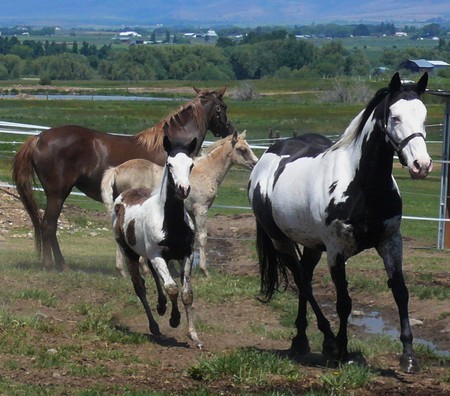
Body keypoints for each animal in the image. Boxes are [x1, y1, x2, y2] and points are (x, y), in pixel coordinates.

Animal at [11, 86, 234, 270]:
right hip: (57, 194)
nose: (230, 130)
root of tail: (39, 138)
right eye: (222, 107)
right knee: (48, 225)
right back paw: (54, 265)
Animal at [100, 131, 258, 278]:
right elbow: (202, 237)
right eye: (242, 149)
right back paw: (142, 271)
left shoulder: (191, 212)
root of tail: (116, 169)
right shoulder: (201, 209)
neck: (206, 172)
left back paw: (122, 271)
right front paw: (204, 271)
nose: (256, 163)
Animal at [113, 133, 203, 346]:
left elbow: (186, 293)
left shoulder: (186, 254)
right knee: (140, 287)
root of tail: (123, 197)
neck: (171, 223)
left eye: (191, 165)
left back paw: (161, 306)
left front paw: (193, 334)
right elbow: (172, 288)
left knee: (153, 275)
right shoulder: (157, 255)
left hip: (151, 256)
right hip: (130, 253)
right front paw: (174, 320)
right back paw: (154, 326)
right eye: (169, 164)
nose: (183, 189)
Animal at [248, 72, 430, 372]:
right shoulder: (336, 252)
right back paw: (328, 341)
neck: (363, 185)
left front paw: (409, 356)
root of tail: (266, 158)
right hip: (281, 241)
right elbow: (344, 301)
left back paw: (301, 340)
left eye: (424, 115)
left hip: (311, 244)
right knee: (302, 282)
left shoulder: (391, 242)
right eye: (395, 117)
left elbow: (401, 292)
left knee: (305, 277)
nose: (421, 165)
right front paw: (342, 350)